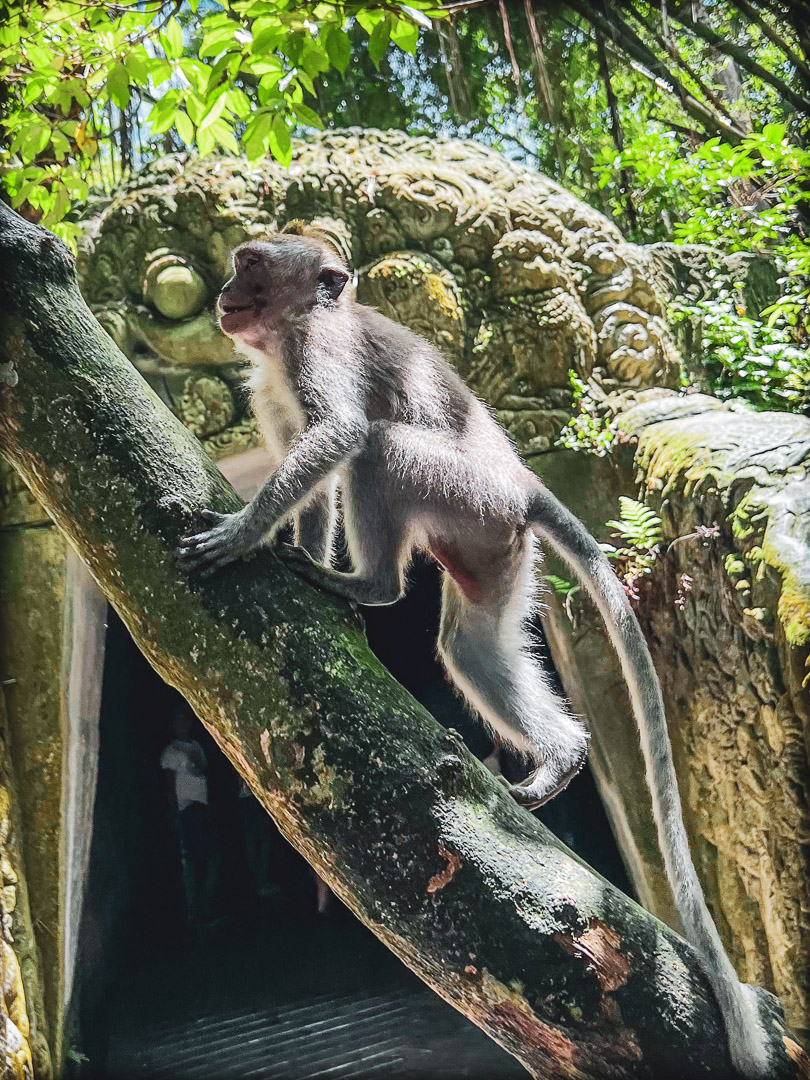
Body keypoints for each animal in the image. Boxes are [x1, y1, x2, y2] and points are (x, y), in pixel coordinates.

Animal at [178, 226, 770, 1079]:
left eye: (250, 266)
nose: (225, 295)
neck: (294, 330)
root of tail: (523, 484)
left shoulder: (319, 350)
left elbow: (337, 439)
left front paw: (242, 536)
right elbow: (310, 470)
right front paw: (291, 544)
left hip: (464, 493)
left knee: (381, 450)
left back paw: (371, 587)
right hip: (495, 548)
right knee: (470, 645)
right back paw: (562, 754)